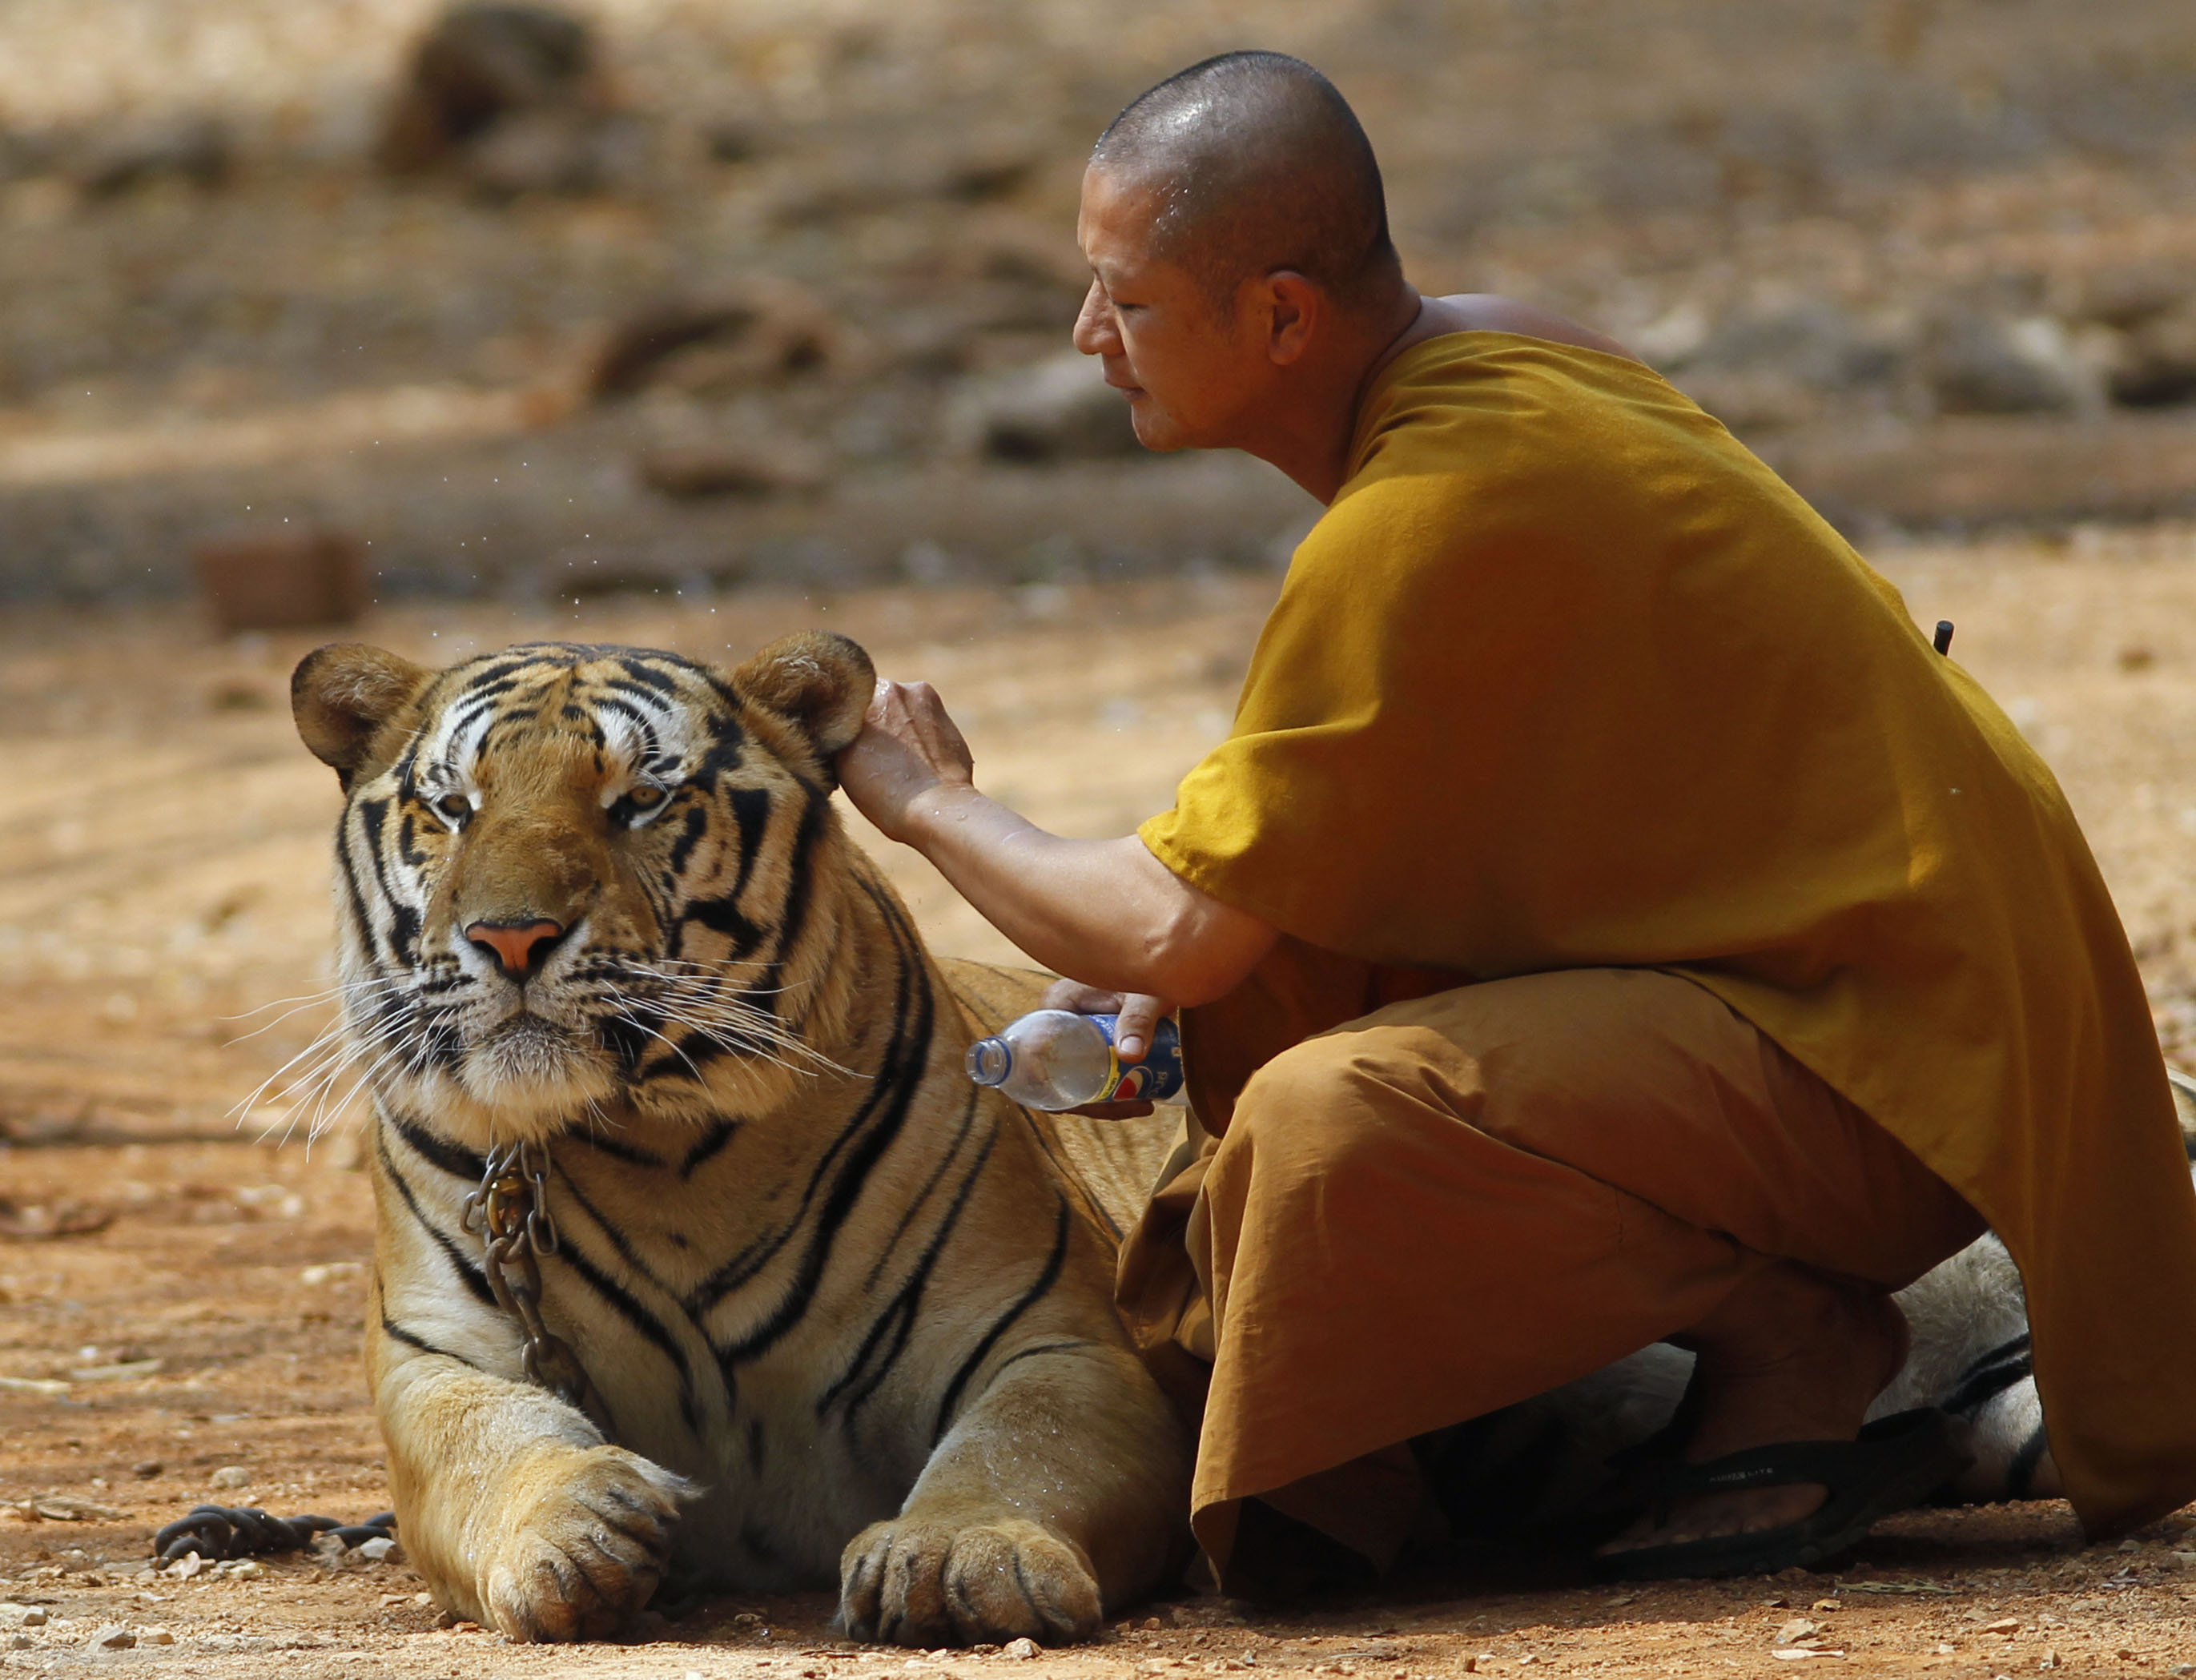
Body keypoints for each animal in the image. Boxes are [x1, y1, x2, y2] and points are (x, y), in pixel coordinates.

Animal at [288, 631, 1192, 1646]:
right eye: (452, 808)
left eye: (639, 799)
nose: (512, 937)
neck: (661, 1153)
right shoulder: (434, 1353)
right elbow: (483, 1439)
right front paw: (578, 1522)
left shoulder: (1056, 1335)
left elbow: (1019, 1442)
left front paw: (961, 1550)